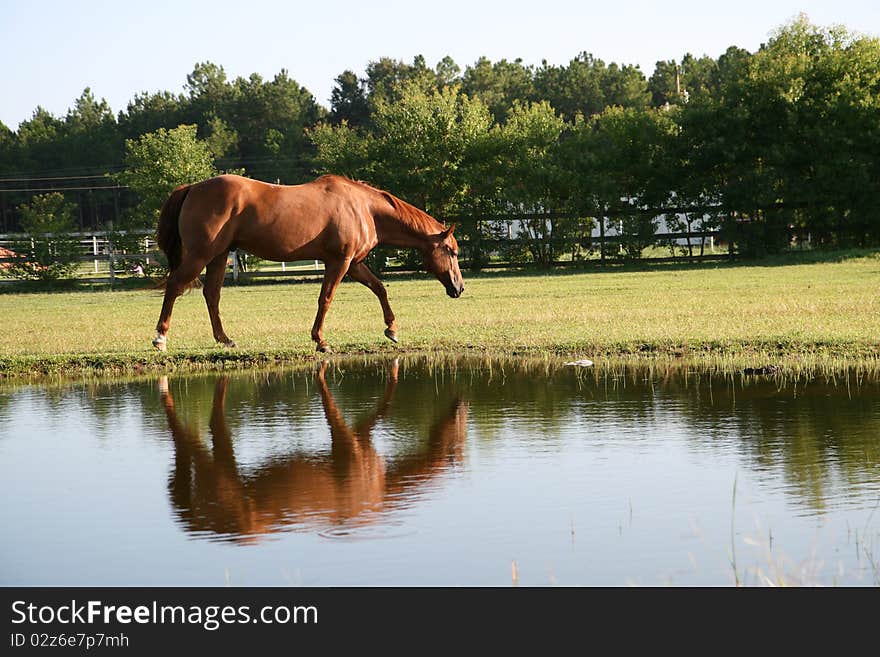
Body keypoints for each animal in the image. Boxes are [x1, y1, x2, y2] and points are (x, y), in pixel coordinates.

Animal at [154, 172, 464, 352]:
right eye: (452, 251)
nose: (459, 288)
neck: (364, 208)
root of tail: (193, 187)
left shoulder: (354, 264)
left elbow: (379, 288)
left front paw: (392, 329)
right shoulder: (339, 262)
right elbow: (325, 299)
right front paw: (320, 340)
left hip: (218, 256)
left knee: (212, 294)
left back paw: (224, 338)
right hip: (200, 255)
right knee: (175, 286)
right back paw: (160, 337)